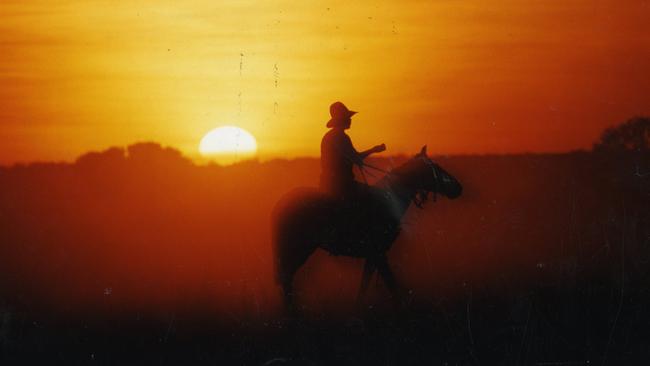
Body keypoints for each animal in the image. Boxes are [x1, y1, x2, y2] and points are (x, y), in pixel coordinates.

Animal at [268, 146, 460, 312]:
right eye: (436, 168)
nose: (458, 188)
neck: (390, 201)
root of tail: (279, 204)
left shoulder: (373, 256)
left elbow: (366, 284)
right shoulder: (378, 253)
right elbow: (391, 283)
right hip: (298, 249)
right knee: (286, 279)